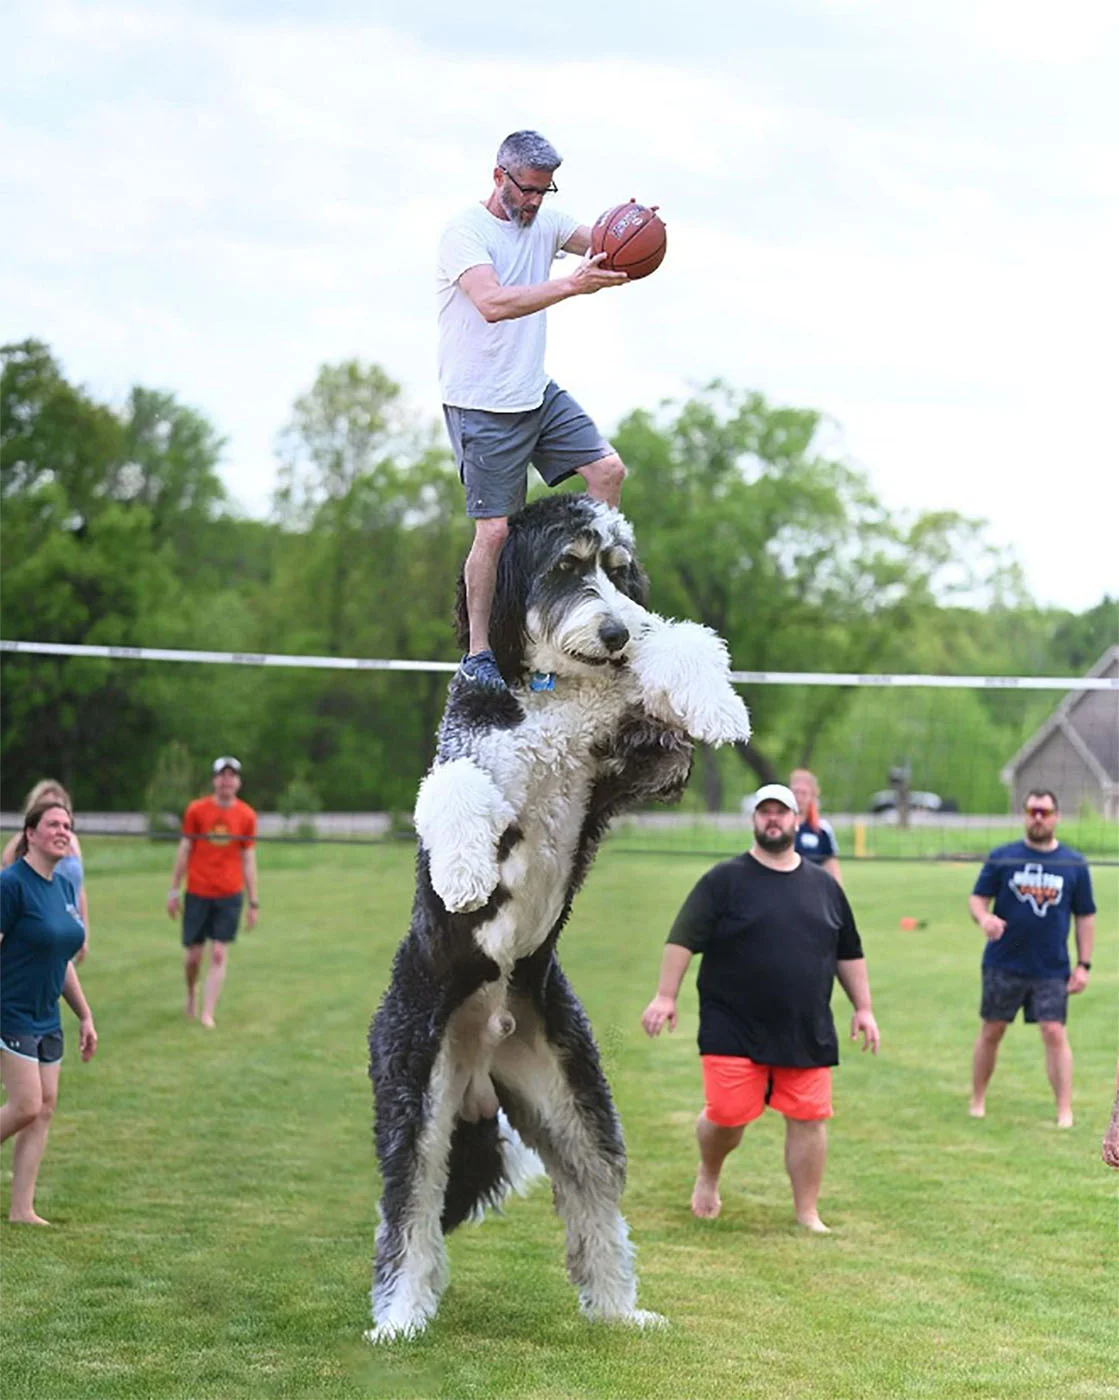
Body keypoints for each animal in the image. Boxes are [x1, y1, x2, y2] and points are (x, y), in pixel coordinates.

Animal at [369, 498, 750, 1338]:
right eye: (567, 567)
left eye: (617, 570)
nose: (613, 633)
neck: (553, 692)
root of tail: (484, 1053)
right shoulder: (470, 750)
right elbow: (450, 792)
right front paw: (465, 875)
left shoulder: (643, 760)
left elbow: (681, 644)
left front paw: (717, 702)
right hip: (416, 1095)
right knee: (409, 1209)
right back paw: (401, 1316)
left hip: (571, 1097)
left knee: (592, 1201)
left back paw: (617, 1311)